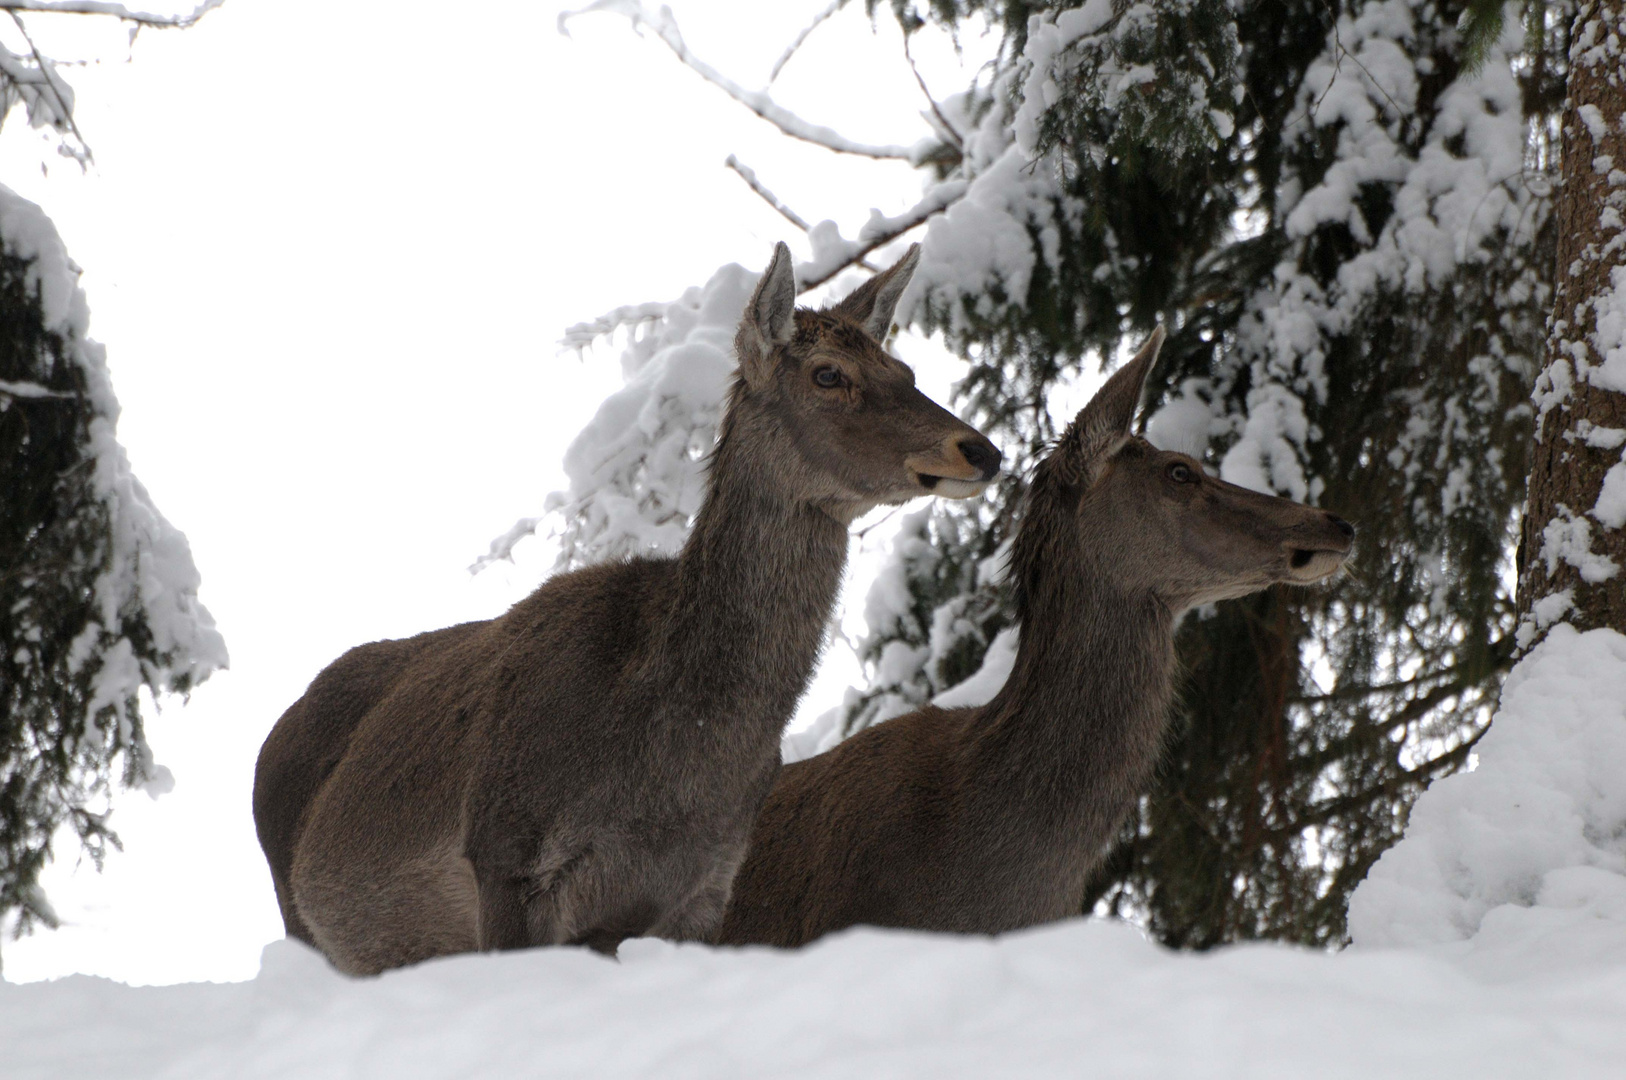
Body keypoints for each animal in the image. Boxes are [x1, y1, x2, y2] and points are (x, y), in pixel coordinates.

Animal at [253, 247, 995, 975]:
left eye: (905, 368)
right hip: (300, 917)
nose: (980, 449)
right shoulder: (504, 855)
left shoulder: (704, 891)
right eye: (829, 374)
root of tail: (273, 735)